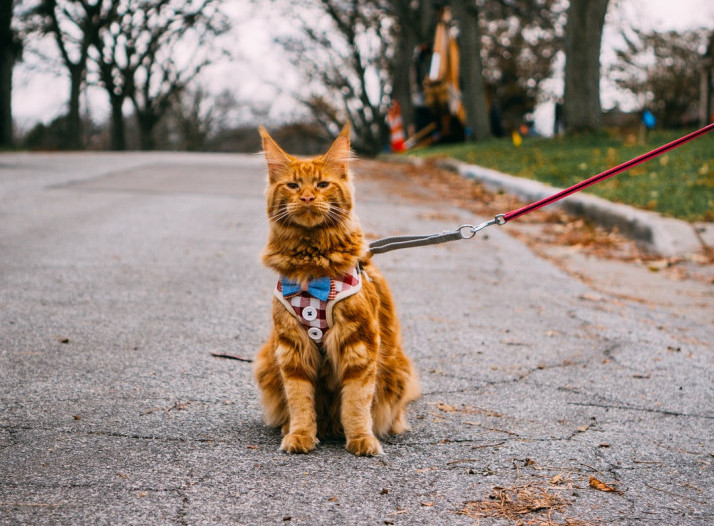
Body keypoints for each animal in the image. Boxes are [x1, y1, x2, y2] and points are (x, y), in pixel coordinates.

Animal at [252, 125, 418, 458]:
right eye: (293, 185)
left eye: (322, 184)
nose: (307, 196)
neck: (311, 266)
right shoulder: (292, 348)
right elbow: (300, 401)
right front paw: (300, 436)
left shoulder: (359, 343)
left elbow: (356, 401)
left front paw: (361, 440)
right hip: (268, 360)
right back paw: (293, 428)